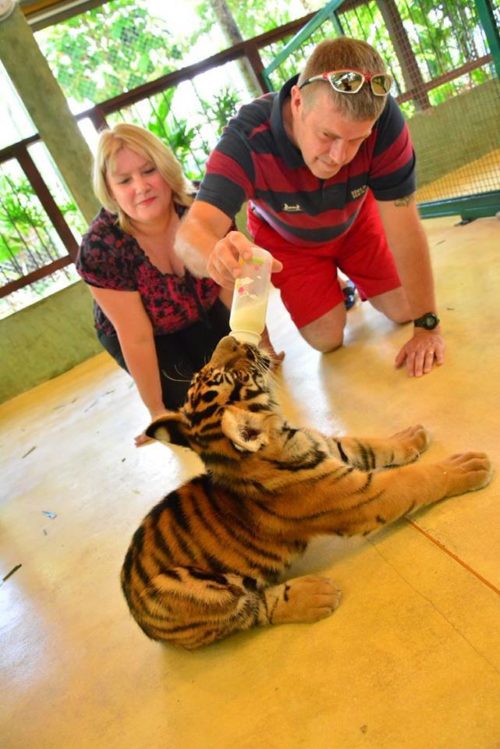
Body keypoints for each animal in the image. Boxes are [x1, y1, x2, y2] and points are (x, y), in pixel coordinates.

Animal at [121, 335, 492, 650]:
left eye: (207, 372)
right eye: (234, 375)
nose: (233, 338)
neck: (282, 434)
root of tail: (136, 611)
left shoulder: (332, 447)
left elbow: (370, 444)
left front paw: (411, 436)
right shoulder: (362, 495)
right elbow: (415, 478)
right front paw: (468, 466)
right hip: (185, 588)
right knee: (253, 609)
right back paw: (315, 595)